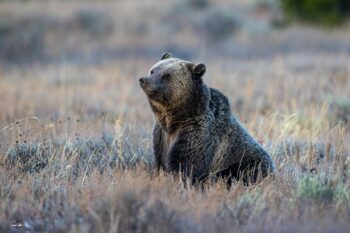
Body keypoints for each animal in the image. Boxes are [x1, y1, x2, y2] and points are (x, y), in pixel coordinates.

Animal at [139, 52, 274, 184]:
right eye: (153, 70)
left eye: (166, 76)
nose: (143, 80)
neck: (174, 118)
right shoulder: (161, 135)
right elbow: (159, 162)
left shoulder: (195, 134)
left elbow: (186, 165)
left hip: (247, 163)